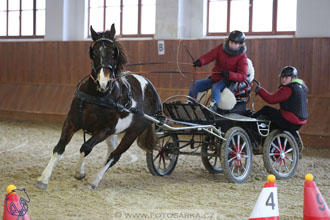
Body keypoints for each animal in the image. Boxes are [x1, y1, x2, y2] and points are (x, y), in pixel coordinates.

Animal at [35, 23, 162, 189]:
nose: (103, 82)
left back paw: (95, 180)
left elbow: (86, 147)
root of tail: (152, 89)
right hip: (115, 132)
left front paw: (79, 172)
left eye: (114, 53)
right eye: (93, 52)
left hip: (133, 131)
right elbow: (59, 147)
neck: (98, 97)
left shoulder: (104, 130)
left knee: (115, 155)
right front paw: (43, 178)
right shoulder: (72, 122)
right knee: (111, 151)